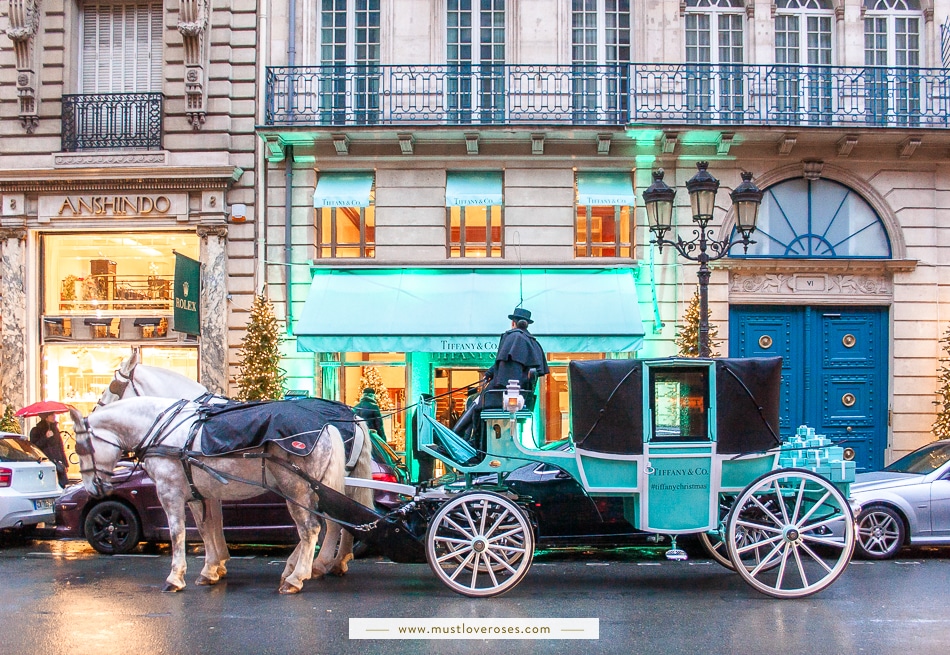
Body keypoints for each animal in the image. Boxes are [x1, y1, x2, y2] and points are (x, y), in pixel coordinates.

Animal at [70, 400, 348, 596]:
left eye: (79, 448)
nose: (93, 488)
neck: (166, 431)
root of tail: (326, 426)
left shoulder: (169, 492)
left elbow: (177, 533)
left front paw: (175, 577)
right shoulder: (197, 494)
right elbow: (206, 529)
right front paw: (210, 570)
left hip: (295, 487)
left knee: (310, 529)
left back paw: (296, 577)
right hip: (310, 489)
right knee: (323, 525)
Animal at [97, 354, 376, 580]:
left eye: (112, 386)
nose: (97, 409)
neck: (187, 423)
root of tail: (352, 416)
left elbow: (205, 525)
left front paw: (211, 565)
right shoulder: (209, 486)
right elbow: (214, 521)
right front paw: (218, 561)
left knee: (328, 522)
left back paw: (312, 566)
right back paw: (334, 561)